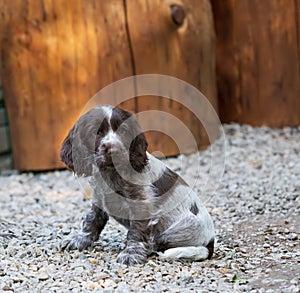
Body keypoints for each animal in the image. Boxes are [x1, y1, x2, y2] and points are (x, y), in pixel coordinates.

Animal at [59, 104, 214, 264]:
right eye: (96, 132)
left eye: (123, 130)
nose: (114, 149)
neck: (111, 173)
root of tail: (210, 242)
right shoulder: (99, 199)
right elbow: (92, 219)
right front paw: (79, 239)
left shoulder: (141, 204)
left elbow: (136, 231)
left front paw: (131, 253)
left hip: (177, 230)